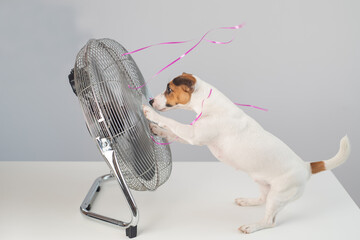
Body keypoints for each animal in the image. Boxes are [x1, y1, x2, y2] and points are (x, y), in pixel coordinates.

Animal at [142, 72, 350, 233]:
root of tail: (306, 167)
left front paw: (150, 114)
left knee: (270, 221)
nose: (151, 100)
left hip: (279, 195)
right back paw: (247, 201)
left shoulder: (193, 135)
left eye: (169, 89)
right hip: (263, 183)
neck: (210, 104)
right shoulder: (195, 136)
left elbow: (173, 124)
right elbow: (172, 132)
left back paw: (252, 227)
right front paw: (157, 129)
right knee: (262, 199)